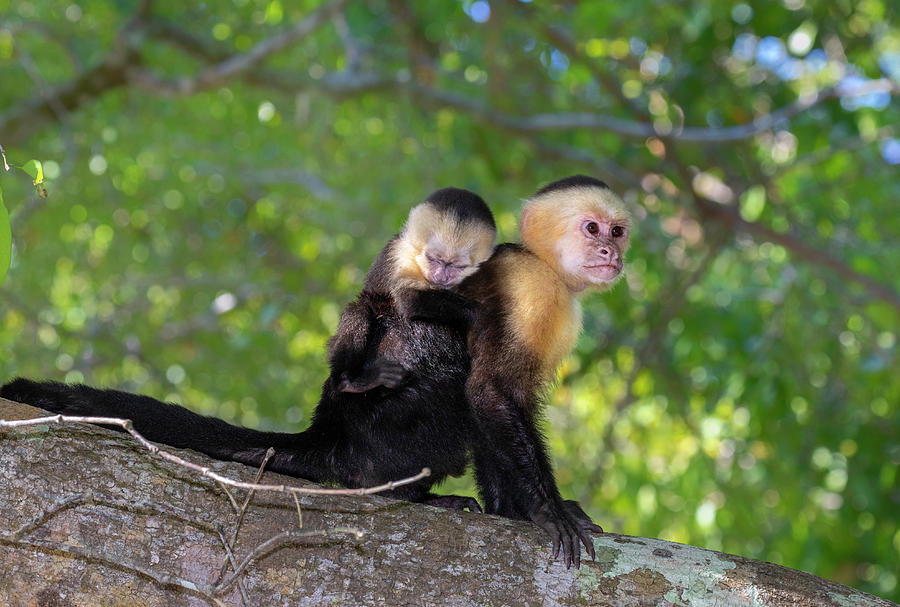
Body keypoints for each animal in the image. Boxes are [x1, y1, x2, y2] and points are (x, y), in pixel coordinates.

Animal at [0, 188, 496, 510]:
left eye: (456, 264)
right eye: (434, 259)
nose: (442, 276)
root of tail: (331, 428)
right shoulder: (398, 257)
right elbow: (396, 299)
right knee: (374, 322)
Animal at [458, 176, 632, 568]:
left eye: (617, 232)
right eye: (592, 228)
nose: (610, 252)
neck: (546, 265)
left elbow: (502, 406)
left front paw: (511, 511)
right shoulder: (532, 289)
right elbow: (490, 390)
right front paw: (549, 509)